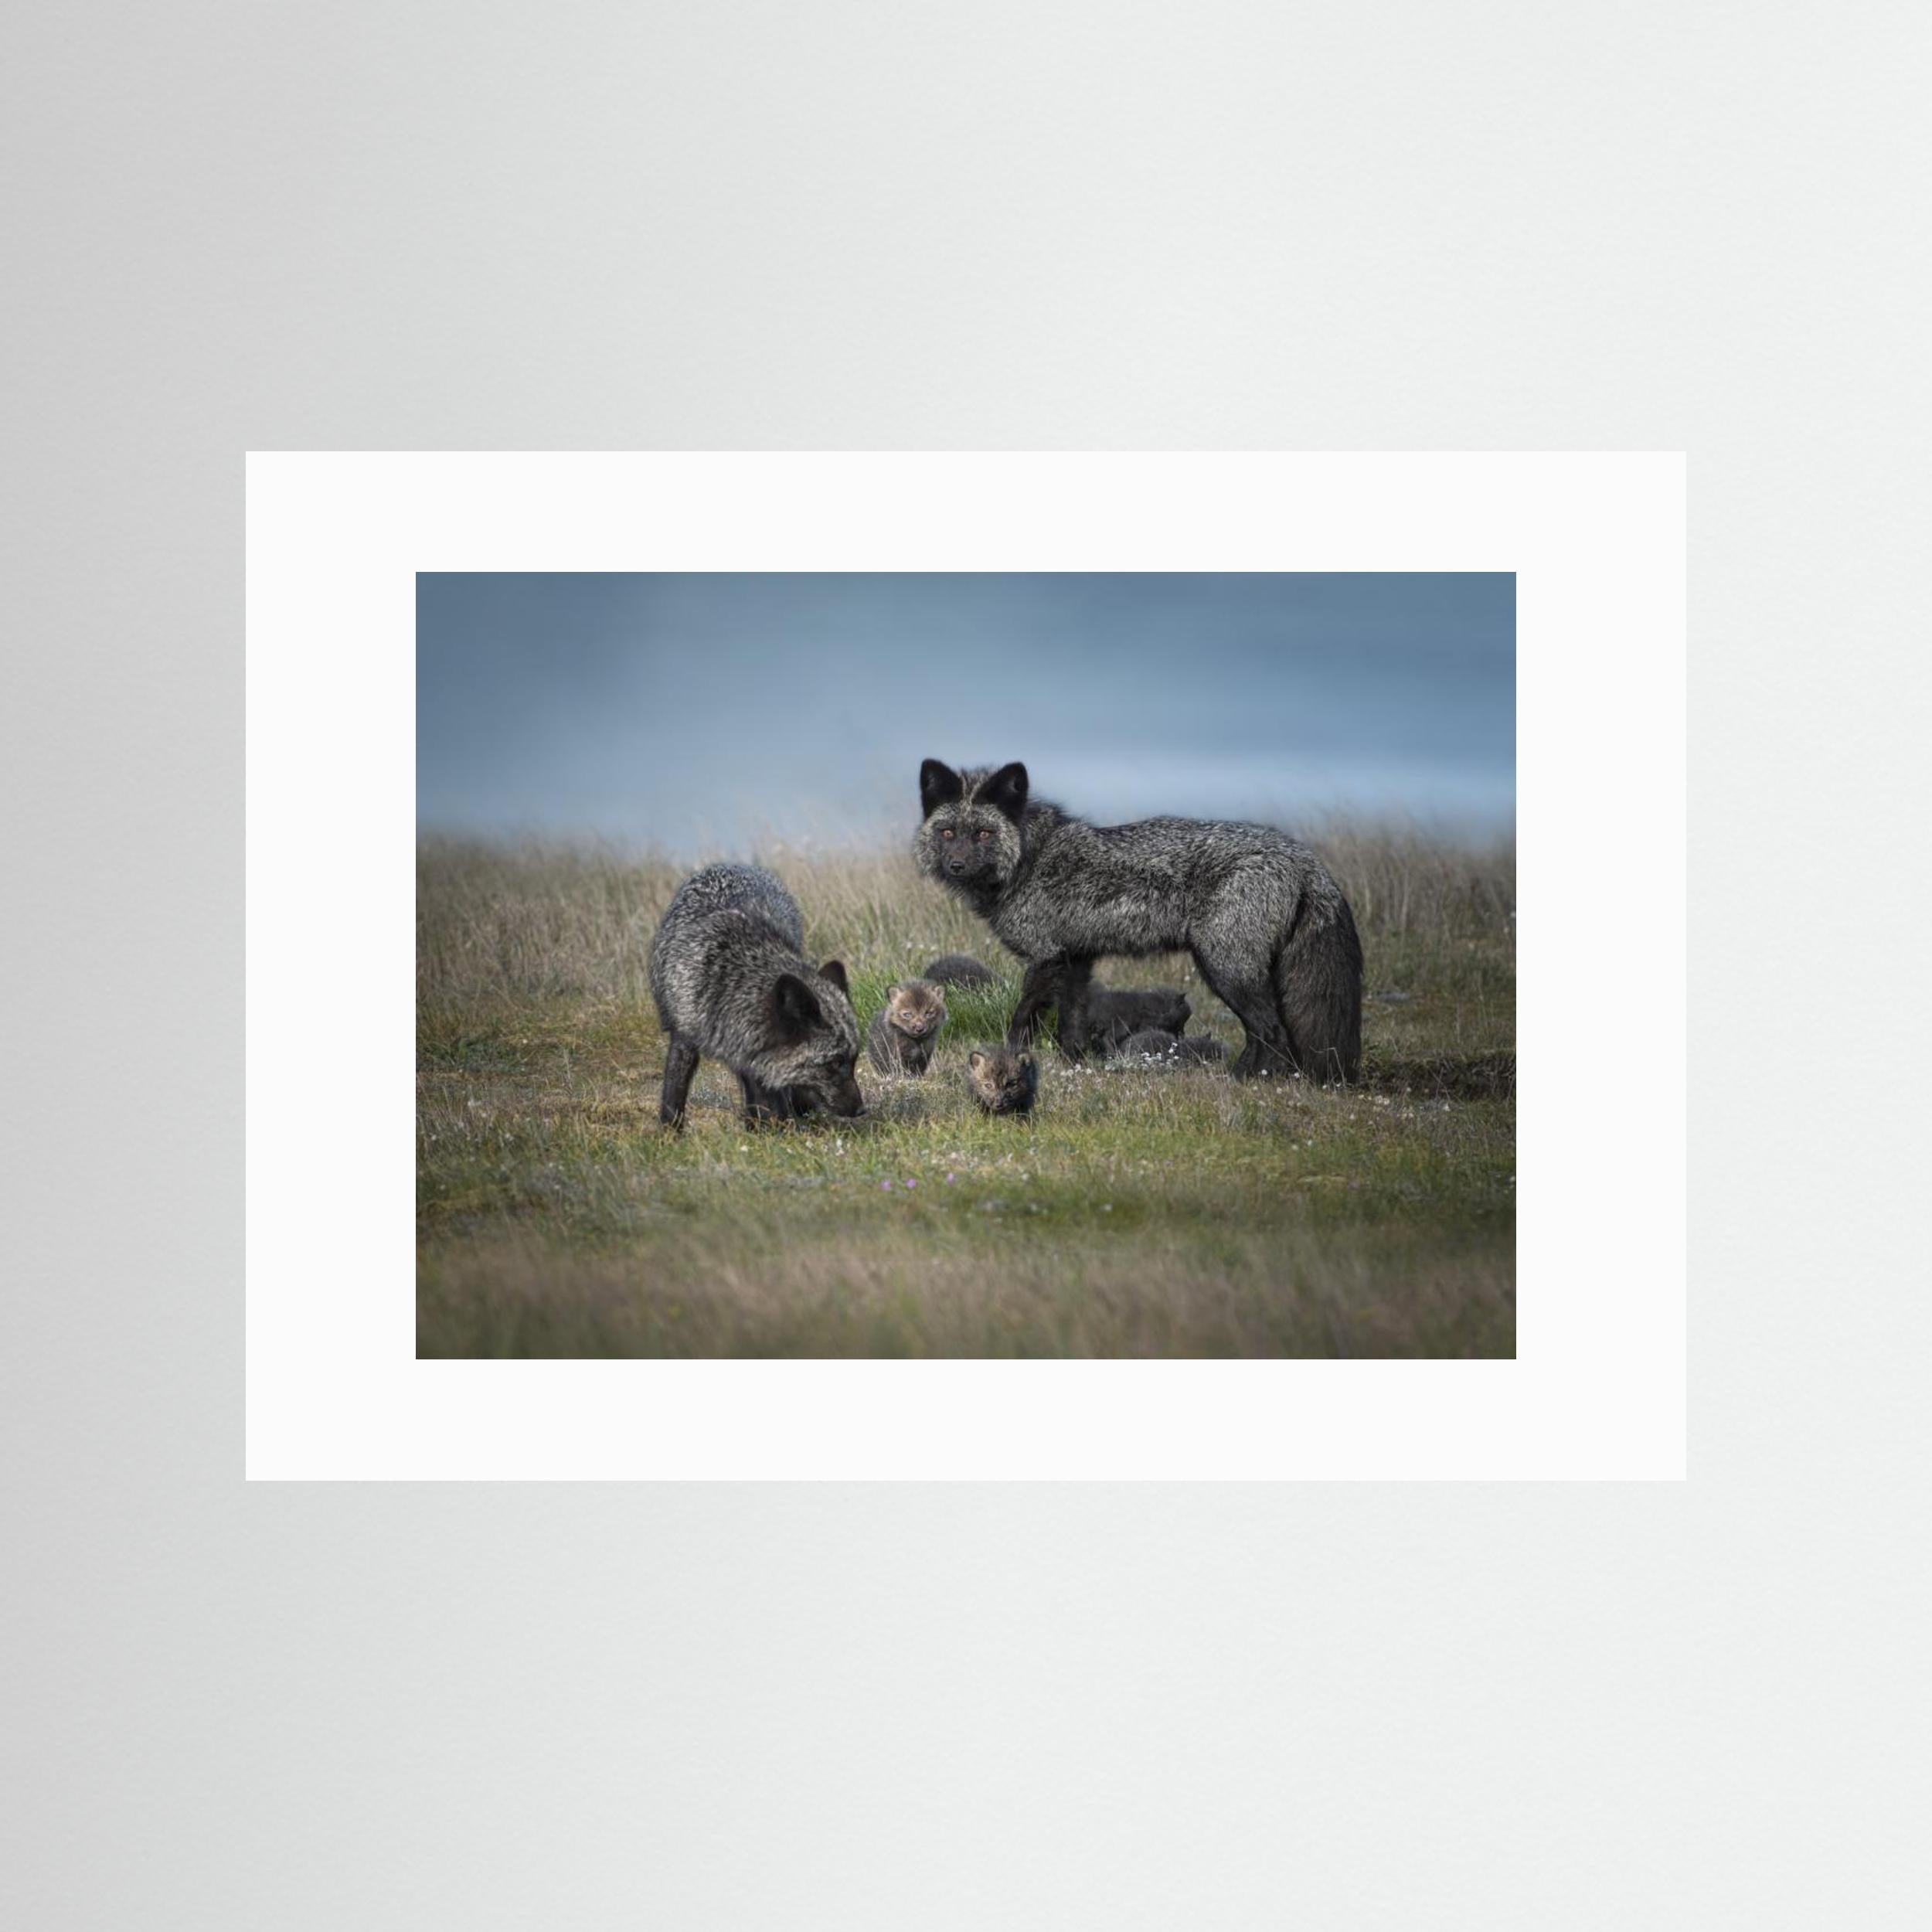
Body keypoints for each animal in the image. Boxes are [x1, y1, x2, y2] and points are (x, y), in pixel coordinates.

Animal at [649, 862, 864, 1128]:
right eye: (834, 1063)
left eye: (854, 1059)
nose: (861, 1110)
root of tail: (729, 864)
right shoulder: (684, 1037)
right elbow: (674, 1091)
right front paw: (670, 1131)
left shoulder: (753, 1053)